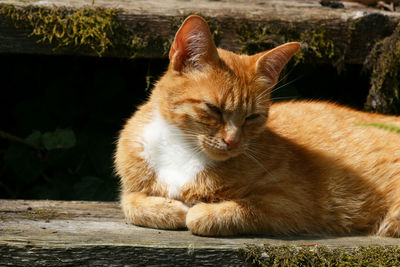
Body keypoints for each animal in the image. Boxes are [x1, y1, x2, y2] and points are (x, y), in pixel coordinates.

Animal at [114, 15, 400, 237]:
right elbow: (130, 203)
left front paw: (198, 211)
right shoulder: (131, 188)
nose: (232, 141)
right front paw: (167, 208)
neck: (183, 150)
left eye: (252, 117)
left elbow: (229, 211)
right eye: (213, 108)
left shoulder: (292, 203)